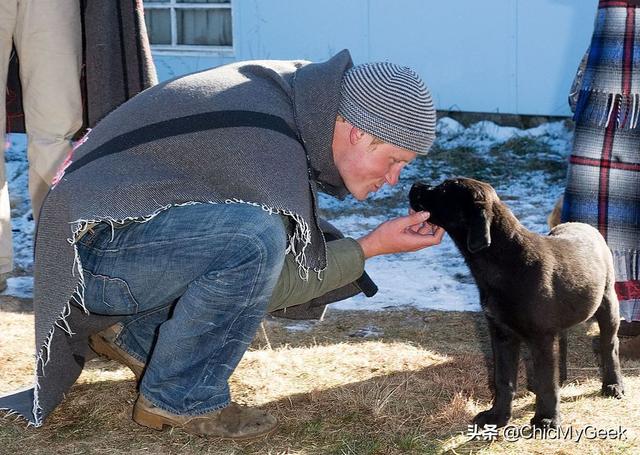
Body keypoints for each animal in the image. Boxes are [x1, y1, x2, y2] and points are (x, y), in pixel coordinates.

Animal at [410, 179, 624, 432]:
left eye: (443, 189)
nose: (415, 185)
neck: (505, 260)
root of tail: (583, 225)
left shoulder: (541, 336)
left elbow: (546, 381)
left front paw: (546, 419)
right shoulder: (501, 333)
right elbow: (503, 379)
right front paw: (497, 417)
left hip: (608, 303)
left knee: (609, 344)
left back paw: (613, 385)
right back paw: (560, 378)